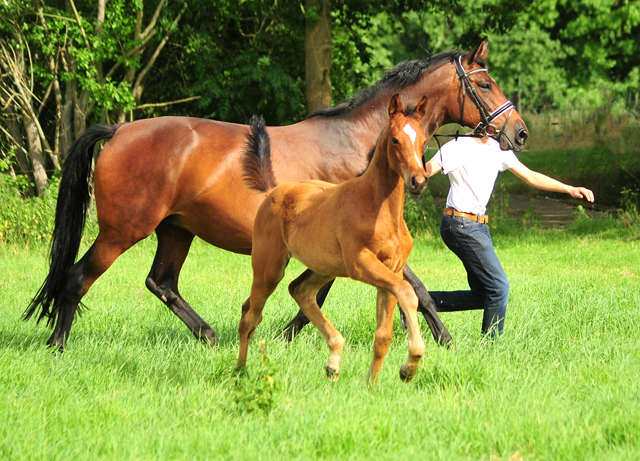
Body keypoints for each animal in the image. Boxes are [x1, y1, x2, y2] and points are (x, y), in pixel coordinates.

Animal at [25, 38, 528, 348]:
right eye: (484, 83)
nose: (519, 132)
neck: (361, 145)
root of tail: (118, 131)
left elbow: (324, 294)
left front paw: (285, 338)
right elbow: (413, 288)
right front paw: (445, 339)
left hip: (177, 230)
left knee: (161, 282)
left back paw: (210, 337)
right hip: (123, 230)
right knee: (77, 278)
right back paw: (57, 345)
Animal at [238, 94, 428, 384]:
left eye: (424, 140)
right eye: (396, 140)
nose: (418, 181)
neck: (379, 209)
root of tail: (274, 191)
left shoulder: (391, 269)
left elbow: (383, 335)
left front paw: (373, 385)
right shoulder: (360, 264)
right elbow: (407, 292)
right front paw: (409, 365)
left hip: (325, 268)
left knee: (299, 290)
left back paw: (333, 363)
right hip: (268, 269)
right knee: (250, 317)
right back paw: (239, 372)